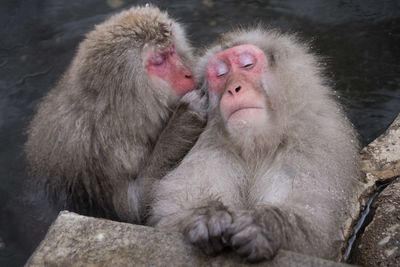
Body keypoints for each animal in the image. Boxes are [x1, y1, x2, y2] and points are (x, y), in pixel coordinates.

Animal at [25, 5, 206, 224]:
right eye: (159, 61)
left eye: (172, 51)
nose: (188, 74)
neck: (118, 115)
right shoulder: (103, 154)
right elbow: (132, 209)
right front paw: (182, 123)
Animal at [149, 27, 362, 264]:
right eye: (221, 74)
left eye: (247, 65)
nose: (234, 89)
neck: (257, 146)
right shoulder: (210, 144)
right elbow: (174, 211)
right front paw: (205, 216)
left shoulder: (316, 141)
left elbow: (315, 225)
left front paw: (264, 226)